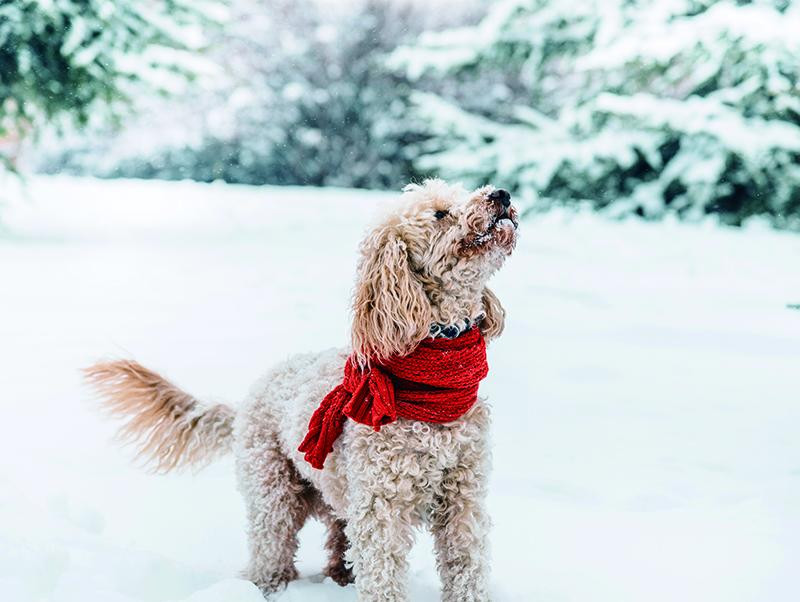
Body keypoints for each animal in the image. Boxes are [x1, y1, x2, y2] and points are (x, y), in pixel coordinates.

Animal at [83, 179, 520, 600]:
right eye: (440, 214)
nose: (500, 194)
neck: (437, 379)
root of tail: (247, 399)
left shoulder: (463, 500)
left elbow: (466, 568)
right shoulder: (380, 507)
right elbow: (382, 577)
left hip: (335, 494)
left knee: (338, 544)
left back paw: (339, 577)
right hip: (273, 491)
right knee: (272, 546)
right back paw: (267, 586)